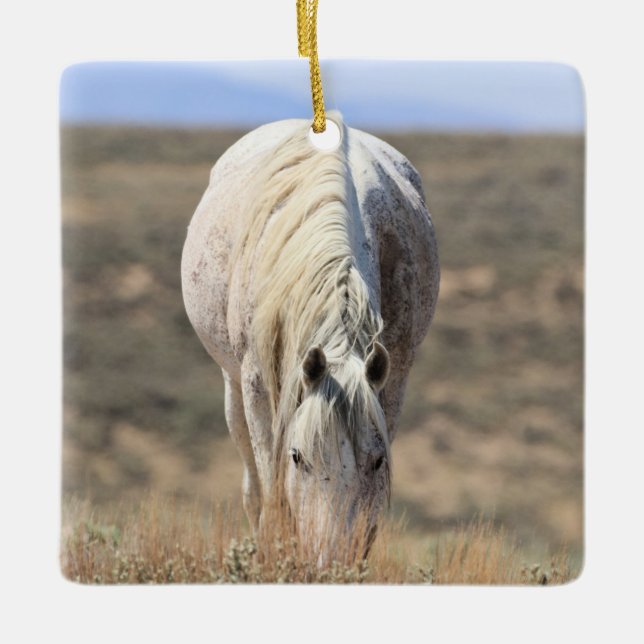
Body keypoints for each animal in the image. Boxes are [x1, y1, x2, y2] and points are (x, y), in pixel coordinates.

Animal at [181, 112, 439, 561]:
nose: (330, 563)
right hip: (233, 388)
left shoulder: (392, 383)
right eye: (298, 458)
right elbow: (273, 496)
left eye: (377, 462)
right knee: (253, 490)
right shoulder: (257, 385)